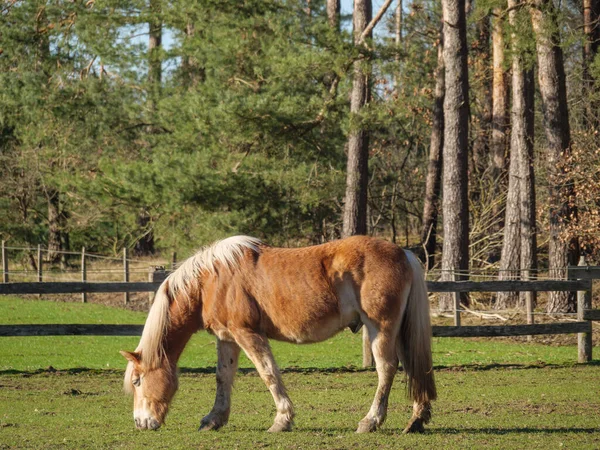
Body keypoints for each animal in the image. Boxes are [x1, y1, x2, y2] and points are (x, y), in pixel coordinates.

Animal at [120, 234, 436, 434]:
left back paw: (370, 421)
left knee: (386, 369)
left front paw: (282, 420)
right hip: (399, 331)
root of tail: (404, 253)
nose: (140, 423)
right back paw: (416, 420)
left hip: (380, 328)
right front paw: (214, 419)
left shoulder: (248, 334)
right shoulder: (227, 338)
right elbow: (223, 377)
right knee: (413, 367)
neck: (211, 280)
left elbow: (268, 373)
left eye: (137, 381)